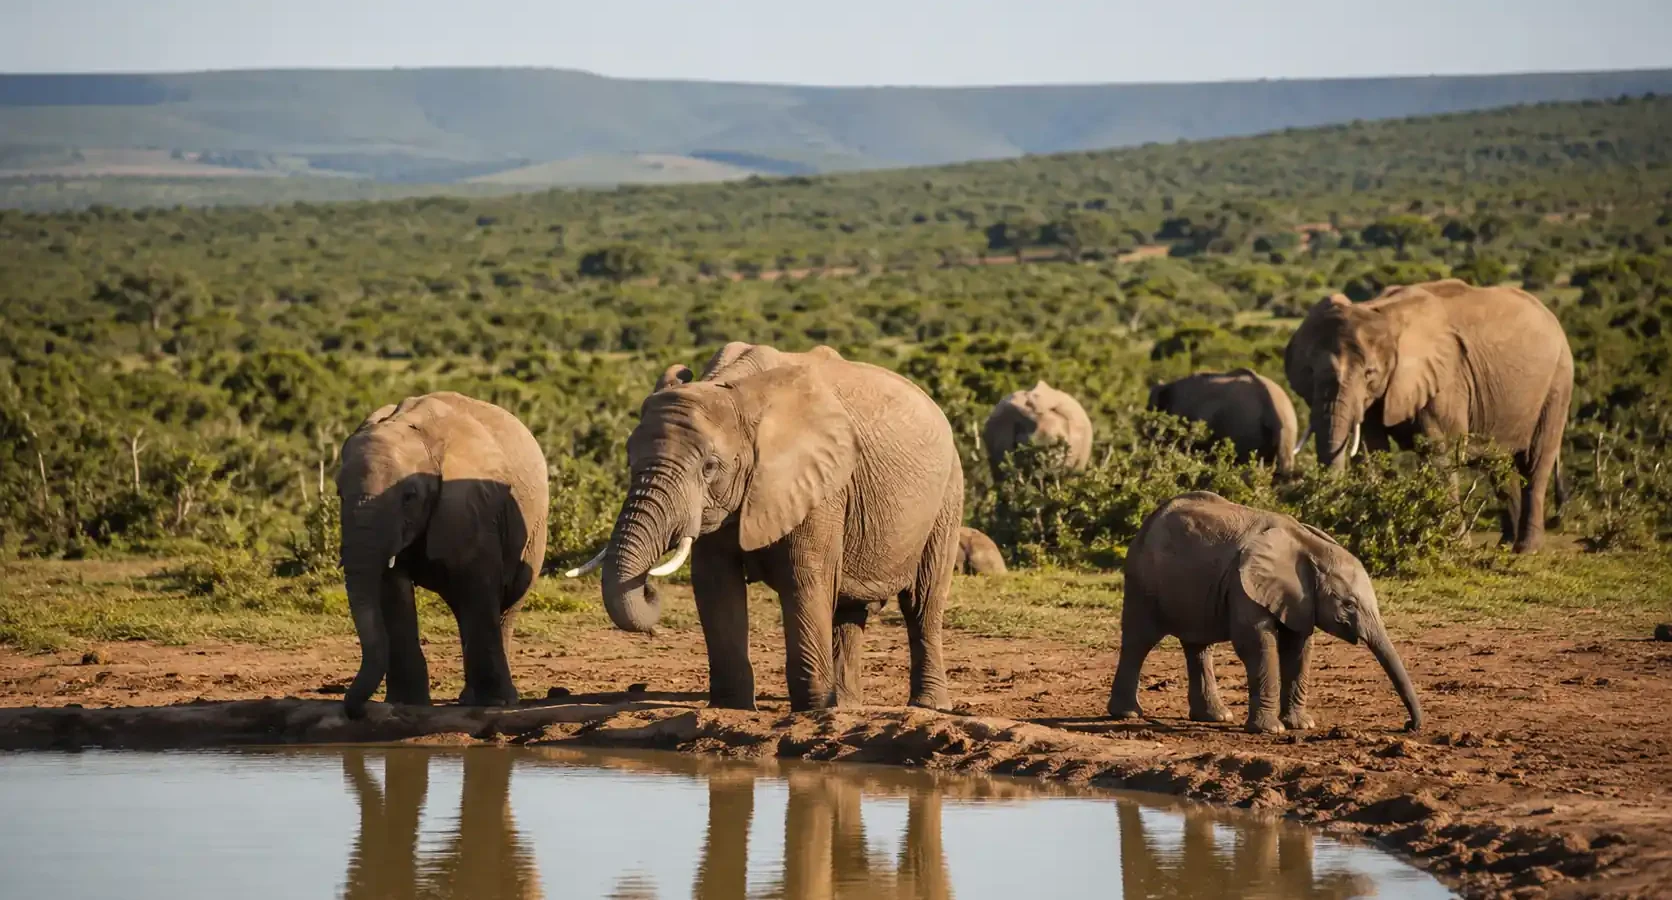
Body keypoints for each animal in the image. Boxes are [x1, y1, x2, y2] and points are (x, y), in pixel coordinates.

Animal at [335, 391, 549, 718]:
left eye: (409, 496)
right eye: (339, 494)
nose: (364, 710)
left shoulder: (469, 504)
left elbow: (477, 585)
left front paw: (494, 704)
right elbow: (391, 592)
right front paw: (406, 703)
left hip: (534, 532)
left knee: (505, 604)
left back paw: (497, 699)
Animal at [568, 350, 963, 712]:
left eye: (710, 467)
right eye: (629, 460)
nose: (649, 588)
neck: (738, 392)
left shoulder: (819, 485)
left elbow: (805, 580)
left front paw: (812, 711)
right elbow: (714, 583)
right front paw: (731, 709)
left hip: (947, 496)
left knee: (922, 602)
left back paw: (927, 706)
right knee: (850, 609)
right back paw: (847, 708)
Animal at [1107, 491, 1423, 734]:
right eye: (1349, 604)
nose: (1408, 726)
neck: (1308, 545)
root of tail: (1150, 519)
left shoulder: (1298, 598)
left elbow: (1298, 648)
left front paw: (1301, 725)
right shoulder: (1243, 585)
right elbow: (1257, 644)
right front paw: (1271, 730)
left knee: (1199, 647)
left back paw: (1216, 717)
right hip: (1142, 581)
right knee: (1140, 640)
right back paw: (1128, 715)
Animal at [1284, 279, 1573, 552]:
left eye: (1369, 373)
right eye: (1310, 371)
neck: (1382, 313)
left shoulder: (1447, 379)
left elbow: (1438, 452)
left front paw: (1453, 546)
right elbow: (1373, 450)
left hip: (1558, 382)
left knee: (1535, 464)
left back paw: (1526, 549)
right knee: (1499, 466)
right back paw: (1505, 545)